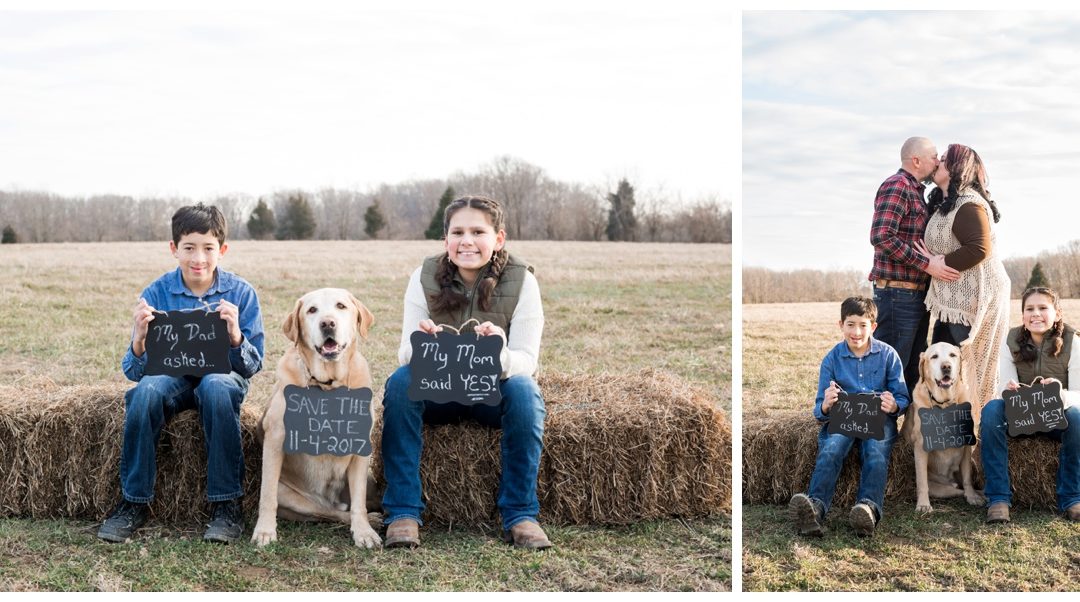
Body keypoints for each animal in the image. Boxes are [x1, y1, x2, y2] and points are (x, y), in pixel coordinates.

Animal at [250, 289, 382, 546]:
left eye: (341, 306)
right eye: (312, 310)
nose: (327, 323)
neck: (328, 386)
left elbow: (359, 502)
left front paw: (363, 532)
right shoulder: (275, 439)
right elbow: (267, 497)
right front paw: (264, 531)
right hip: (291, 494)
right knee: (329, 512)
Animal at [902, 343, 989, 512]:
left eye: (952, 355)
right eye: (934, 357)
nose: (946, 367)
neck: (944, 405)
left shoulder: (967, 443)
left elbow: (967, 477)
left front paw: (973, 497)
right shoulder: (921, 446)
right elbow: (922, 481)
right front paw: (923, 504)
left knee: (965, 487)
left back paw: (982, 494)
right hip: (941, 489)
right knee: (955, 490)